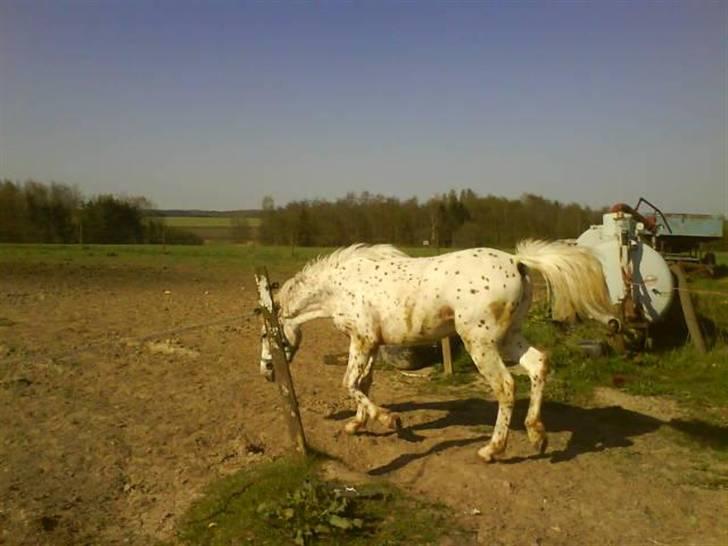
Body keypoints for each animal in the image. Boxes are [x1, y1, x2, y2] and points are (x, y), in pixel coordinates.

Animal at [258, 241, 616, 460]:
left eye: (265, 333)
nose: (266, 370)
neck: (339, 288)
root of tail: (518, 262)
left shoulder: (361, 339)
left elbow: (349, 383)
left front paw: (390, 421)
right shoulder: (370, 343)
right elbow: (363, 383)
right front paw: (357, 425)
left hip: (481, 343)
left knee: (506, 386)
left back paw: (492, 450)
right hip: (510, 338)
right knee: (539, 365)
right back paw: (536, 435)